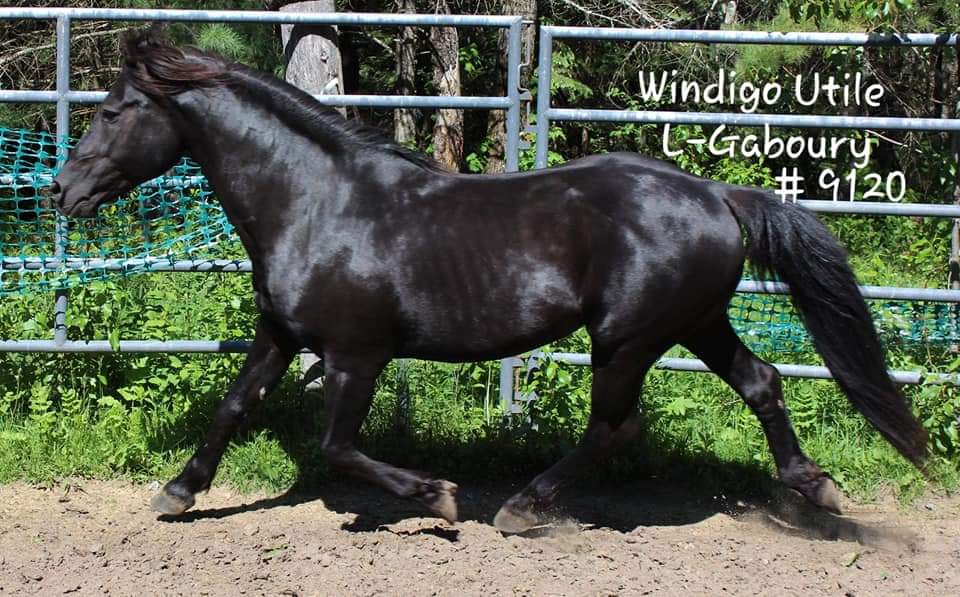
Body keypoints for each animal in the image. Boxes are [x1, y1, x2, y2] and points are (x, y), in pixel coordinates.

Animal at [51, 31, 927, 534]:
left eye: (115, 109)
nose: (62, 190)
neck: (315, 201)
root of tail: (716, 194)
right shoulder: (282, 333)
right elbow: (234, 406)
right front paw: (177, 491)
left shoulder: (356, 354)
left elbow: (338, 447)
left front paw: (437, 498)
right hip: (696, 322)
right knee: (761, 381)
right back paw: (815, 488)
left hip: (629, 337)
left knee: (612, 428)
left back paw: (523, 506)